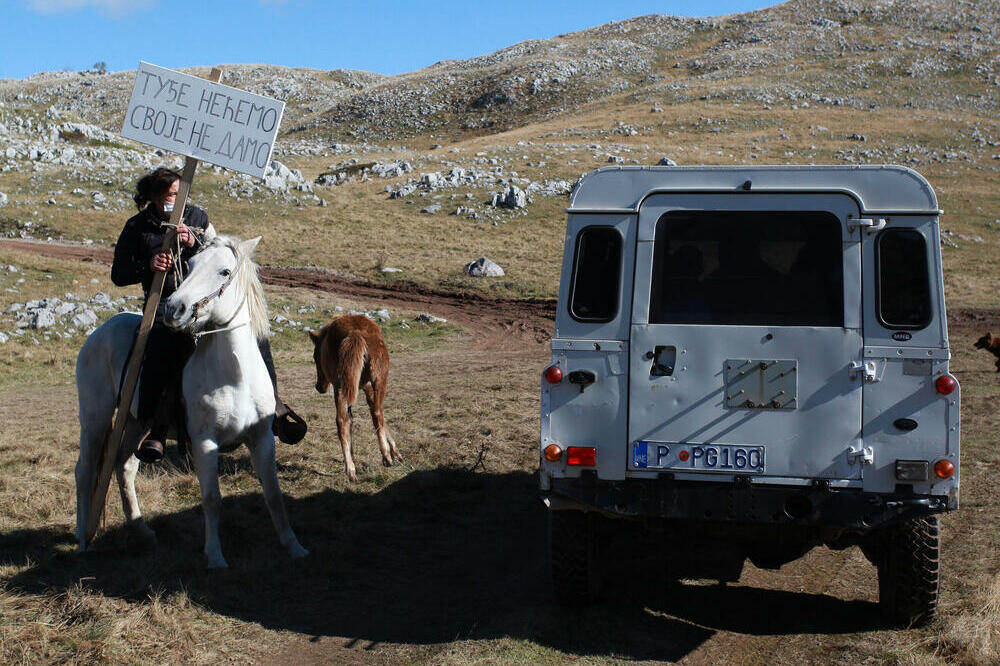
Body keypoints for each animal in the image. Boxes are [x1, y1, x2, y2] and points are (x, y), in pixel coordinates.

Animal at [75, 233, 304, 564]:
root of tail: (99, 332)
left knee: (124, 467)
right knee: (85, 470)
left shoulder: (261, 438)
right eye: (190, 264)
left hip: (135, 423)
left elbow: (273, 494)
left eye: (224, 271)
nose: (173, 308)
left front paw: (294, 546)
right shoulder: (204, 441)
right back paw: (83, 539)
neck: (233, 374)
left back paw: (141, 530)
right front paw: (215, 556)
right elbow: (211, 498)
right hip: (96, 419)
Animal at [308, 314, 398, 480]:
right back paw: (385, 457)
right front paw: (394, 451)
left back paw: (350, 468)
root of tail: (355, 333)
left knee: (343, 420)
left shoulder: (363, 386)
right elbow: (379, 415)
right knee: (376, 413)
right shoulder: (367, 387)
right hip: (373, 380)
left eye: (315, 356)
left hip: (346, 386)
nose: (319, 387)